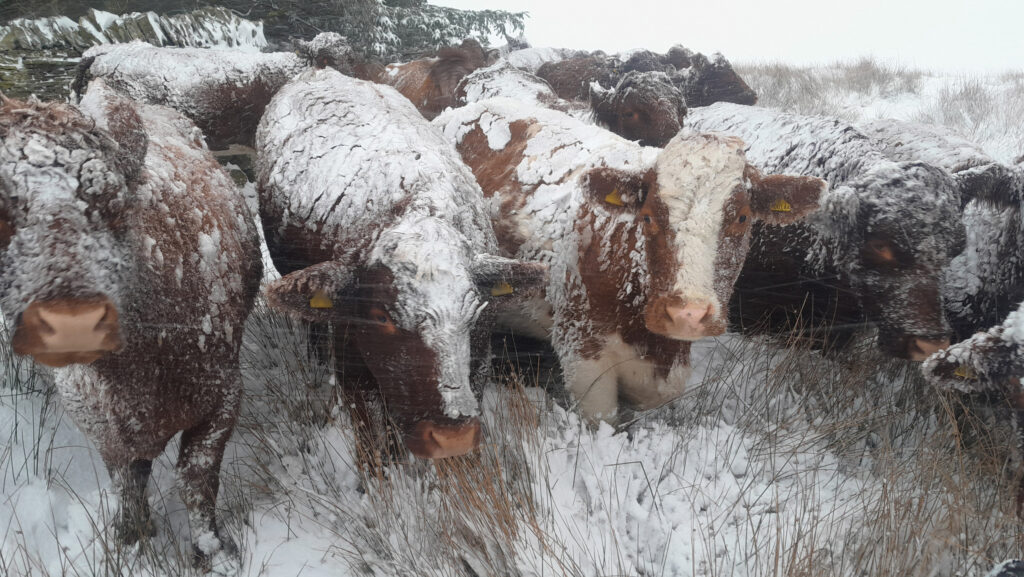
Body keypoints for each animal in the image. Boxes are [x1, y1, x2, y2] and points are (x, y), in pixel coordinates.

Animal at [0, 83, 262, 572]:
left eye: (114, 205)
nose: (73, 323)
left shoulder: (223, 399)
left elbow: (196, 477)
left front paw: (213, 551)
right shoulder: (100, 423)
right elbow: (127, 477)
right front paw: (131, 537)